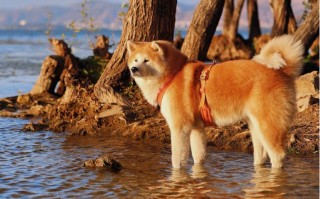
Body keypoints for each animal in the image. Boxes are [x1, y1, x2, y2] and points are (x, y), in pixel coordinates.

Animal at [126, 35, 304, 169]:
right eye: (135, 60)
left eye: (146, 60)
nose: (133, 69)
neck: (173, 74)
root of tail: (283, 71)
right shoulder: (197, 128)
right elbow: (198, 157)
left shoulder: (180, 128)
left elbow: (177, 159)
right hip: (255, 127)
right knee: (261, 156)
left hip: (268, 125)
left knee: (278, 156)